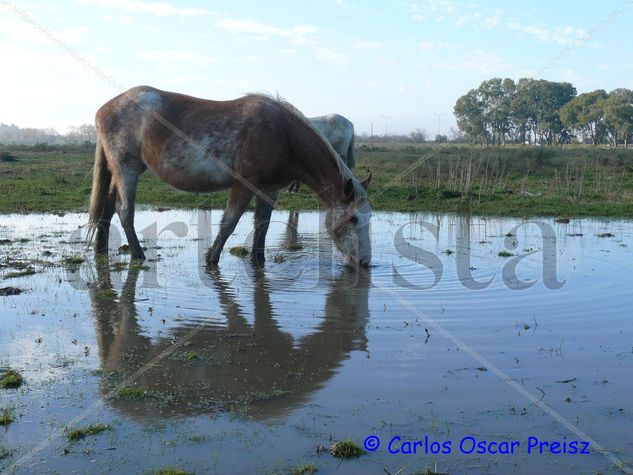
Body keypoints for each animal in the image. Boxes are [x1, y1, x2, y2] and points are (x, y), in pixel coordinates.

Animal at [86, 86, 368, 268]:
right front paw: (211, 260)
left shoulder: (269, 188)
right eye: (352, 219)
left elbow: (262, 225)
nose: (364, 262)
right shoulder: (245, 183)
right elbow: (230, 222)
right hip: (127, 169)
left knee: (108, 206)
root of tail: (103, 109)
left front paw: (258, 261)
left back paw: (101, 250)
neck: (283, 134)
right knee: (125, 210)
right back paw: (138, 255)